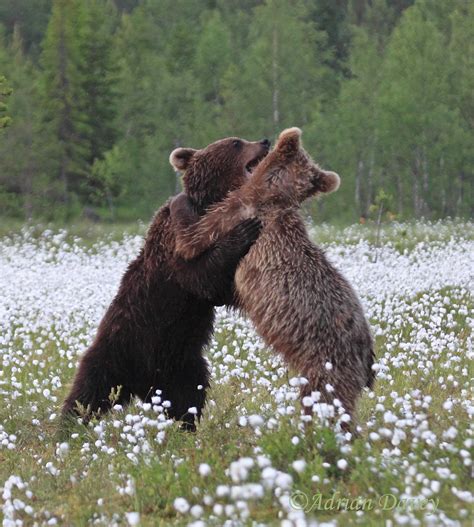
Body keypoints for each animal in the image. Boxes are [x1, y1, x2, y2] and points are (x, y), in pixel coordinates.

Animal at [62, 135, 270, 428]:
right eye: (236, 143)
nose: (264, 141)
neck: (210, 203)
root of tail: (144, 385)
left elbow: (220, 290)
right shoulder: (176, 240)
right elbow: (202, 277)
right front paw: (245, 229)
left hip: (182, 364)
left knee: (189, 397)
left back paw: (185, 427)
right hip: (117, 351)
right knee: (89, 391)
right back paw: (67, 426)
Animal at [170, 129, 374, 434]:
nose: (266, 140)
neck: (272, 194)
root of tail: (367, 359)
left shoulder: (236, 215)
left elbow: (194, 235)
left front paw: (178, 207)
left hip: (327, 363)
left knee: (324, 404)